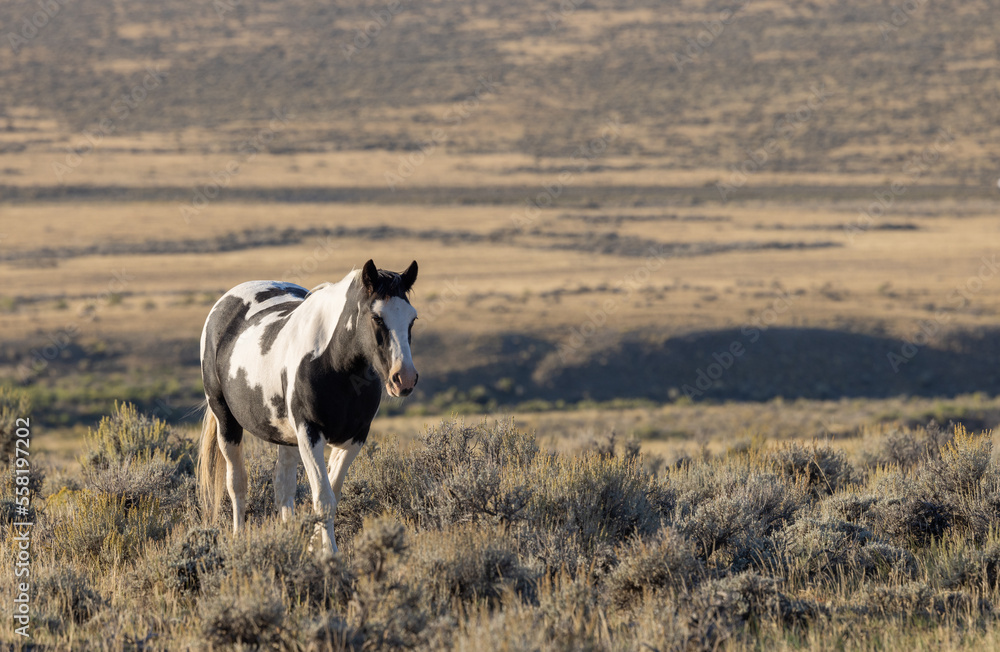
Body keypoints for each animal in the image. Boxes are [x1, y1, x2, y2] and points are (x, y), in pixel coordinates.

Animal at [196, 259, 419, 553]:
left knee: (283, 489)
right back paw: (239, 539)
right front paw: (330, 555)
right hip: (226, 422)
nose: (404, 379)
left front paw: (314, 548)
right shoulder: (310, 433)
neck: (335, 363)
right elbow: (323, 499)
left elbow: (331, 493)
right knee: (237, 484)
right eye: (377, 317)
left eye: (412, 319)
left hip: (286, 437)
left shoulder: (355, 438)